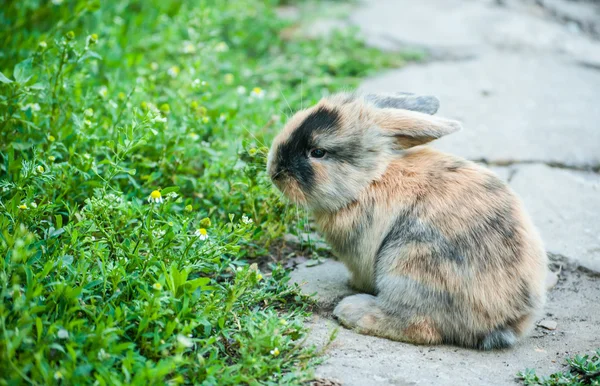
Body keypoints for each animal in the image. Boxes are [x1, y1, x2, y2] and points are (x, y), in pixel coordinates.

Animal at [268, 91, 548, 350]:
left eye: (318, 152)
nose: (274, 173)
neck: (368, 181)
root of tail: (508, 321)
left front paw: (352, 285)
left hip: (408, 268)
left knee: (419, 327)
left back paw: (351, 310)